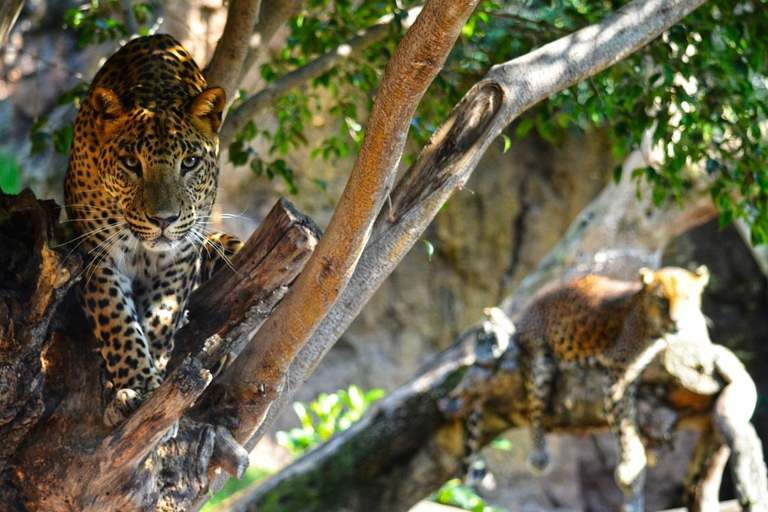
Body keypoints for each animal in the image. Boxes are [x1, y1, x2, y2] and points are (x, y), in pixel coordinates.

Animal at [64, 34, 243, 430]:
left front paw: (153, 380)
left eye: (189, 162)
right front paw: (137, 386)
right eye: (132, 163)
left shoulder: (182, 255)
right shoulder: (95, 254)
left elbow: (163, 314)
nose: (164, 219)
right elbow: (116, 319)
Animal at [516, 266, 708, 510]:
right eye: (662, 300)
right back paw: (539, 455)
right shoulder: (619, 372)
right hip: (540, 360)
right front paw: (630, 469)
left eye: (686, 298)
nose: (676, 321)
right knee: (535, 407)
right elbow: (624, 422)